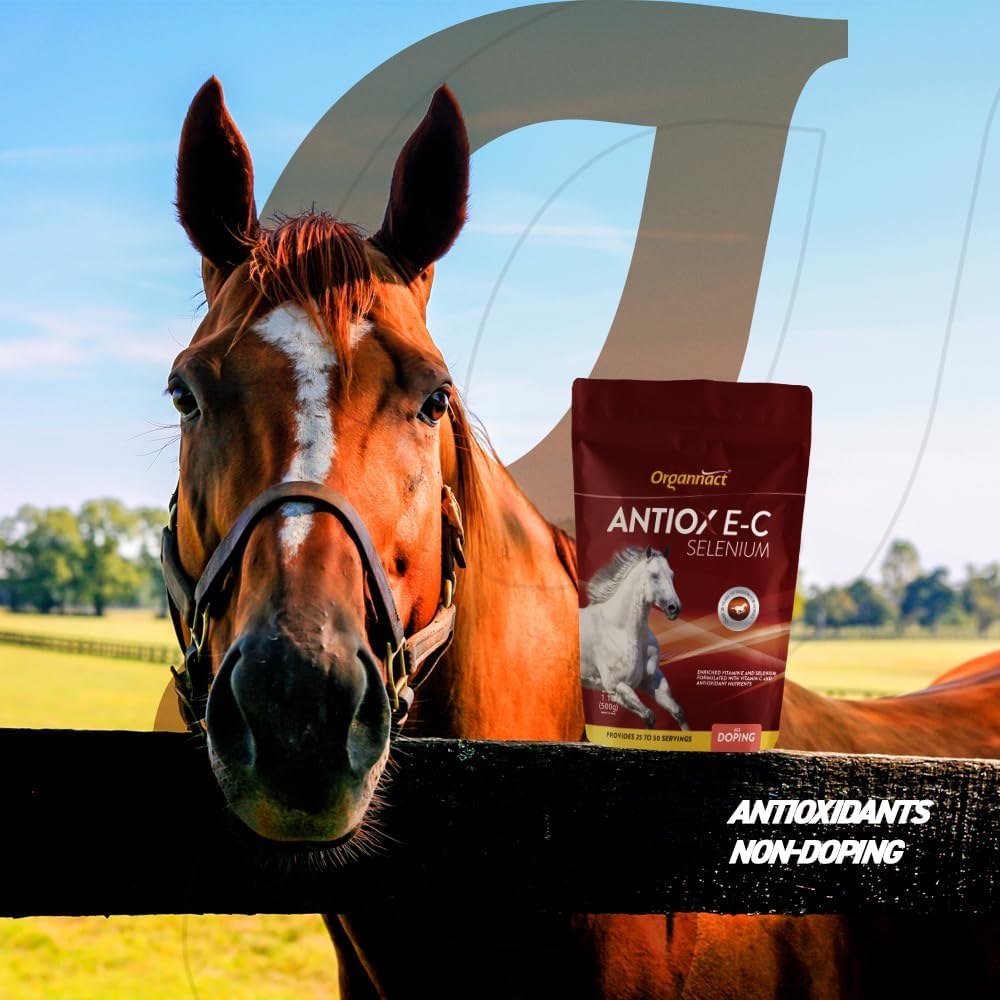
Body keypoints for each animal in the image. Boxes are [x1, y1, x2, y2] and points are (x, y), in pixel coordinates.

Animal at [579, 545, 689, 729]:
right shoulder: (617, 686)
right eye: (654, 575)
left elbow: (679, 713)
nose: (674, 608)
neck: (623, 631)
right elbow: (649, 716)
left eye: (672, 574)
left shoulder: (652, 682)